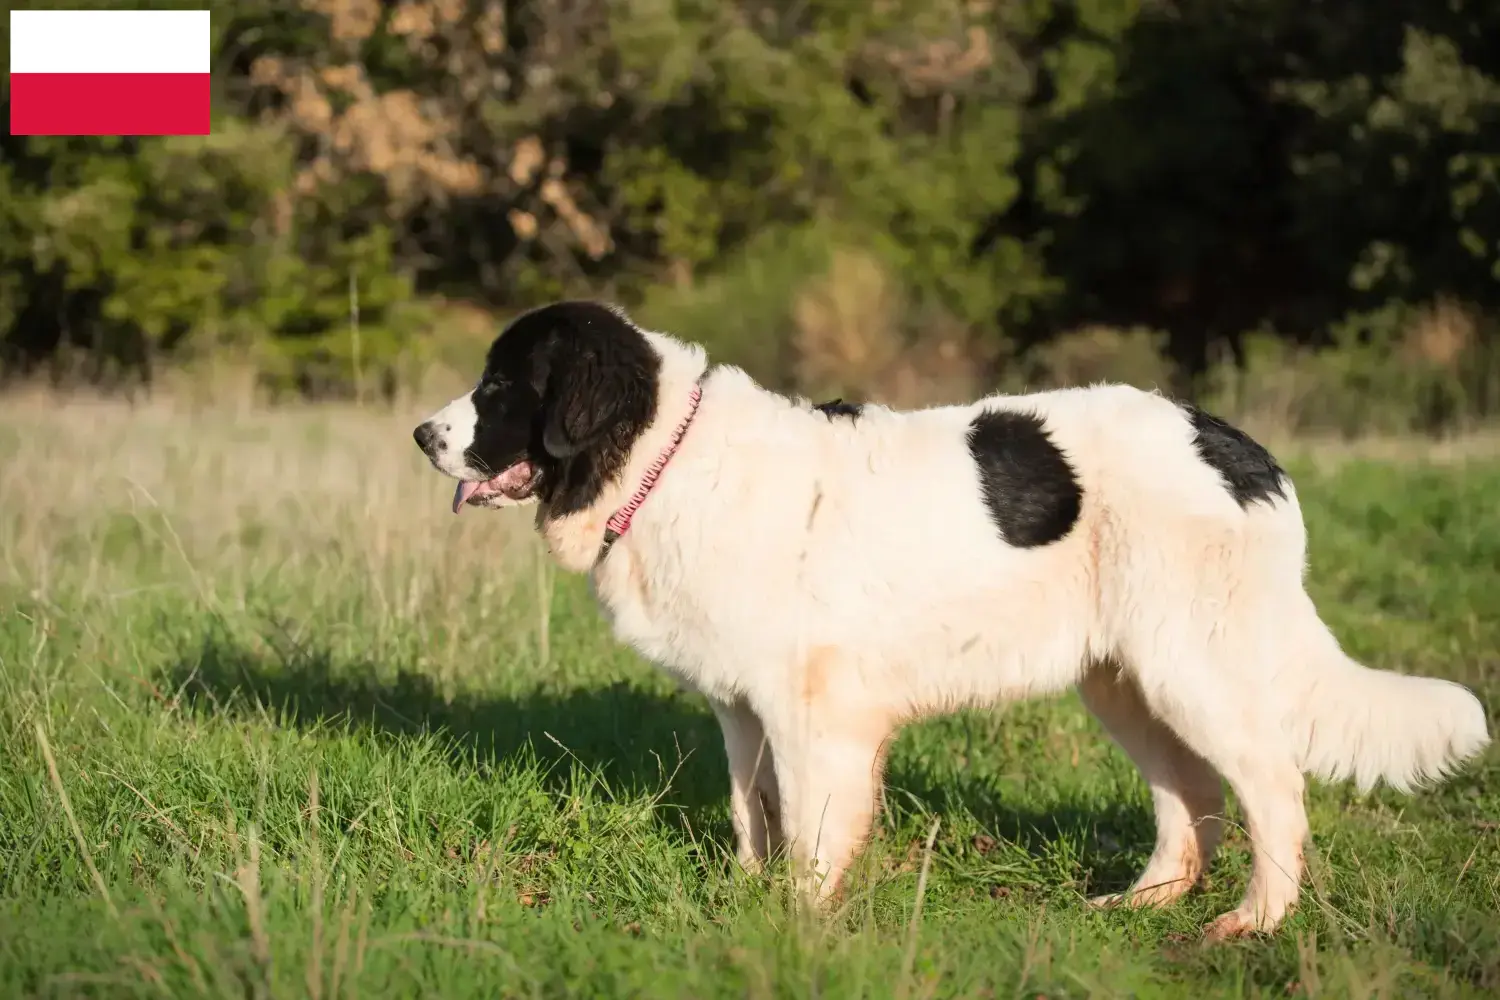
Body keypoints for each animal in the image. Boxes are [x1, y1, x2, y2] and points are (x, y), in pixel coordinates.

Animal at [414, 296, 1488, 941]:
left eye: (502, 386)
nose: (424, 434)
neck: (659, 454)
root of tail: (1242, 450)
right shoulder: (742, 706)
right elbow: (752, 812)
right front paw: (751, 901)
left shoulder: (809, 709)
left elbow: (807, 825)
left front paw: (799, 919)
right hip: (1125, 681)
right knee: (1191, 796)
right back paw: (1143, 902)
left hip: (1194, 668)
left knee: (1273, 789)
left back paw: (1253, 923)